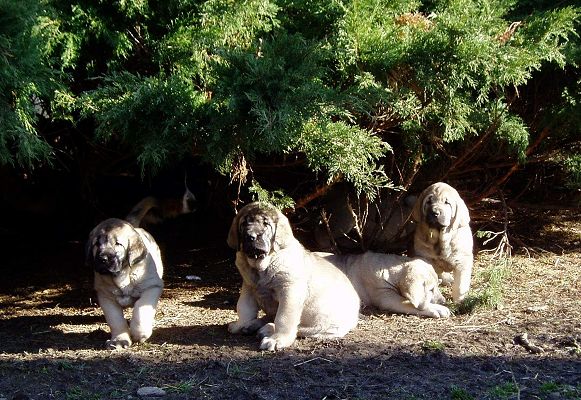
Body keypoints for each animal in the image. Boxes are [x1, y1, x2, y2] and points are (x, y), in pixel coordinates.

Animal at [84, 217, 162, 348]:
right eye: (97, 244)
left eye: (118, 244)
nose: (103, 259)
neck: (122, 275)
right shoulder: (105, 296)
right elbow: (115, 319)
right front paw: (119, 340)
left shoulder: (152, 287)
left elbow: (141, 308)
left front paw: (140, 333)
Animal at [225, 202, 358, 352]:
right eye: (244, 223)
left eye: (266, 224)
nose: (250, 236)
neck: (262, 265)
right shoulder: (248, 287)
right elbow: (244, 308)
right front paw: (241, 324)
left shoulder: (289, 292)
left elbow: (283, 318)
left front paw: (277, 339)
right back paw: (254, 325)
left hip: (325, 325)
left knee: (300, 328)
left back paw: (268, 329)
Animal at [318, 253, 448, 318]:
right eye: (431, 290)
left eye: (437, 286)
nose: (443, 301)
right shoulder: (387, 298)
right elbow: (409, 303)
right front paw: (437, 309)